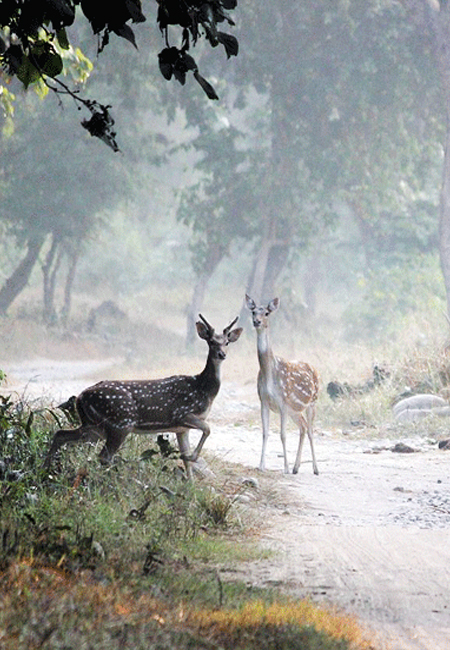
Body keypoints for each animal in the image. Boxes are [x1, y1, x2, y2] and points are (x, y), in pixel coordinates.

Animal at [44, 316, 243, 476]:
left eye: (227, 342)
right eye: (211, 341)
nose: (222, 354)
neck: (203, 389)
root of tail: (80, 397)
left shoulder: (181, 428)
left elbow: (186, 458)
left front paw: (190, 488)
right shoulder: (181, 413)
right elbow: (207, 429)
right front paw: (193, 458)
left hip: (94, 426)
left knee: (61, 434)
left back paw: (47, 469)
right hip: (120, 423)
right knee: (103, 456)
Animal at [246, 296, 320, 474]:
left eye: (267, 312)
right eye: (253, 311)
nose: (257, 321)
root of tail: (315, 369)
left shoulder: (283, 402)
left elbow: (283, 434)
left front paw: (285, 467)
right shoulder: (263, 401)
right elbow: (265, 433)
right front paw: (261, 466)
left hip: (313, 401)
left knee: (311, 430)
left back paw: (315, 468)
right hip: (295, 410)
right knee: (303, 427)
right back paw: (296, 467)